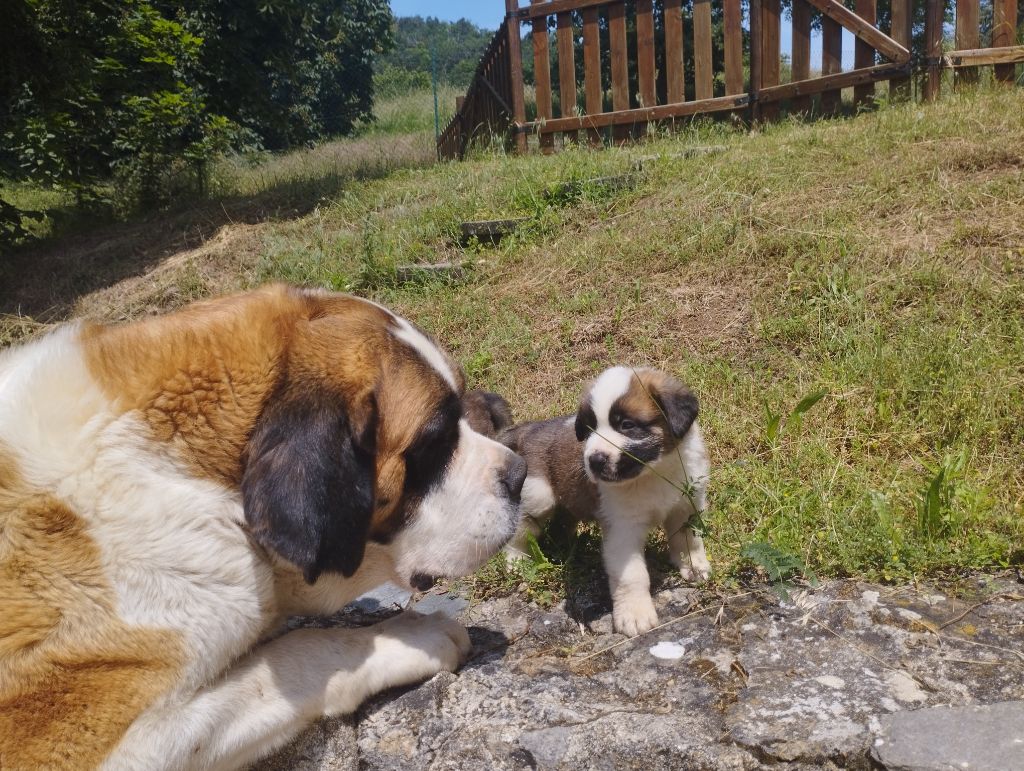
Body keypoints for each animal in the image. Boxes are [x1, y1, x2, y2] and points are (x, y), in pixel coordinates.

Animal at [499, 366, 708, 638]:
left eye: (627, 425)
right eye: (589, 429)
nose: (595, 460)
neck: (652, 472)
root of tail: (530, 429)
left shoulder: (686, 504)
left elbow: (688, 540)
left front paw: (693, 566)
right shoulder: (623, 529)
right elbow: (632, 575)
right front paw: (635, 614)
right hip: (539, 494)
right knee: (521, 526)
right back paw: (516, 560)